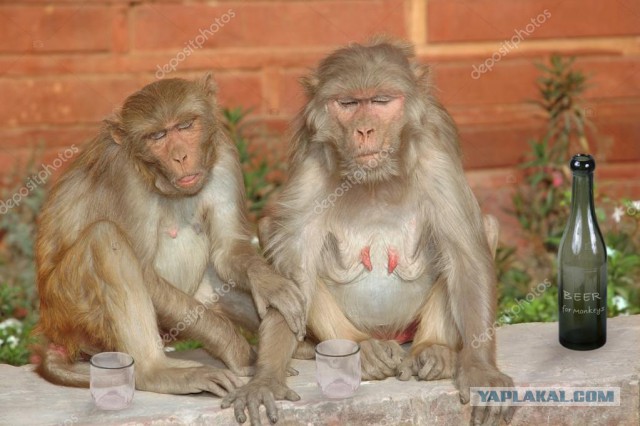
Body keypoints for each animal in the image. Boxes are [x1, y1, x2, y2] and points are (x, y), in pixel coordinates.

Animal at [34, 74, 305, 424]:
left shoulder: (224, 155)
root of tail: (54, 332)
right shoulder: (124, 176)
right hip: (71, 309)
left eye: (186, 126)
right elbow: (144, 272)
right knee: (105, 238)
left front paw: (269, 284)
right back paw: (156, 371)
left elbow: (228, 251)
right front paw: (236, 348)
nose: (180, 157)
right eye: (158, 136)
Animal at [255, 38, 515, 425]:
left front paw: (481, 369)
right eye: (348, 104)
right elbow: (294, 279)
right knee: (271, 230)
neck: (375, 179)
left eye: (380, 102)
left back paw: (433, 349)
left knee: (484, 227)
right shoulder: (310, 172)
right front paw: (264, 380)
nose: (364, 130)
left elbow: (466, 258)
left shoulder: (436, 162)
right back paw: (361, 350)